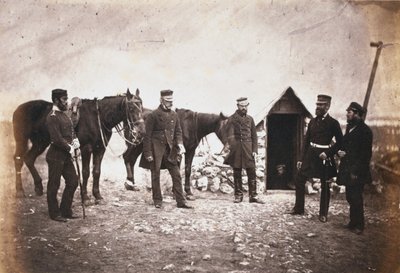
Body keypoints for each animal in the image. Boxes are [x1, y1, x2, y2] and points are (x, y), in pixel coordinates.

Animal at [13, 88, 145, 202]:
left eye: (142, 107)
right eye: (131, 108)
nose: (141, 132)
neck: (98, 118)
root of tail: (18, 108)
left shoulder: (100, 149)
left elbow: (96, 171)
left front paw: (97, 196)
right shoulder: (86, 148)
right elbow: (85, 172)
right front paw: (85, 197)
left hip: (40, 142)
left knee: (29, 158)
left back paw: (38, 187)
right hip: (22, 140)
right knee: (18, 160)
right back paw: (20, 191)